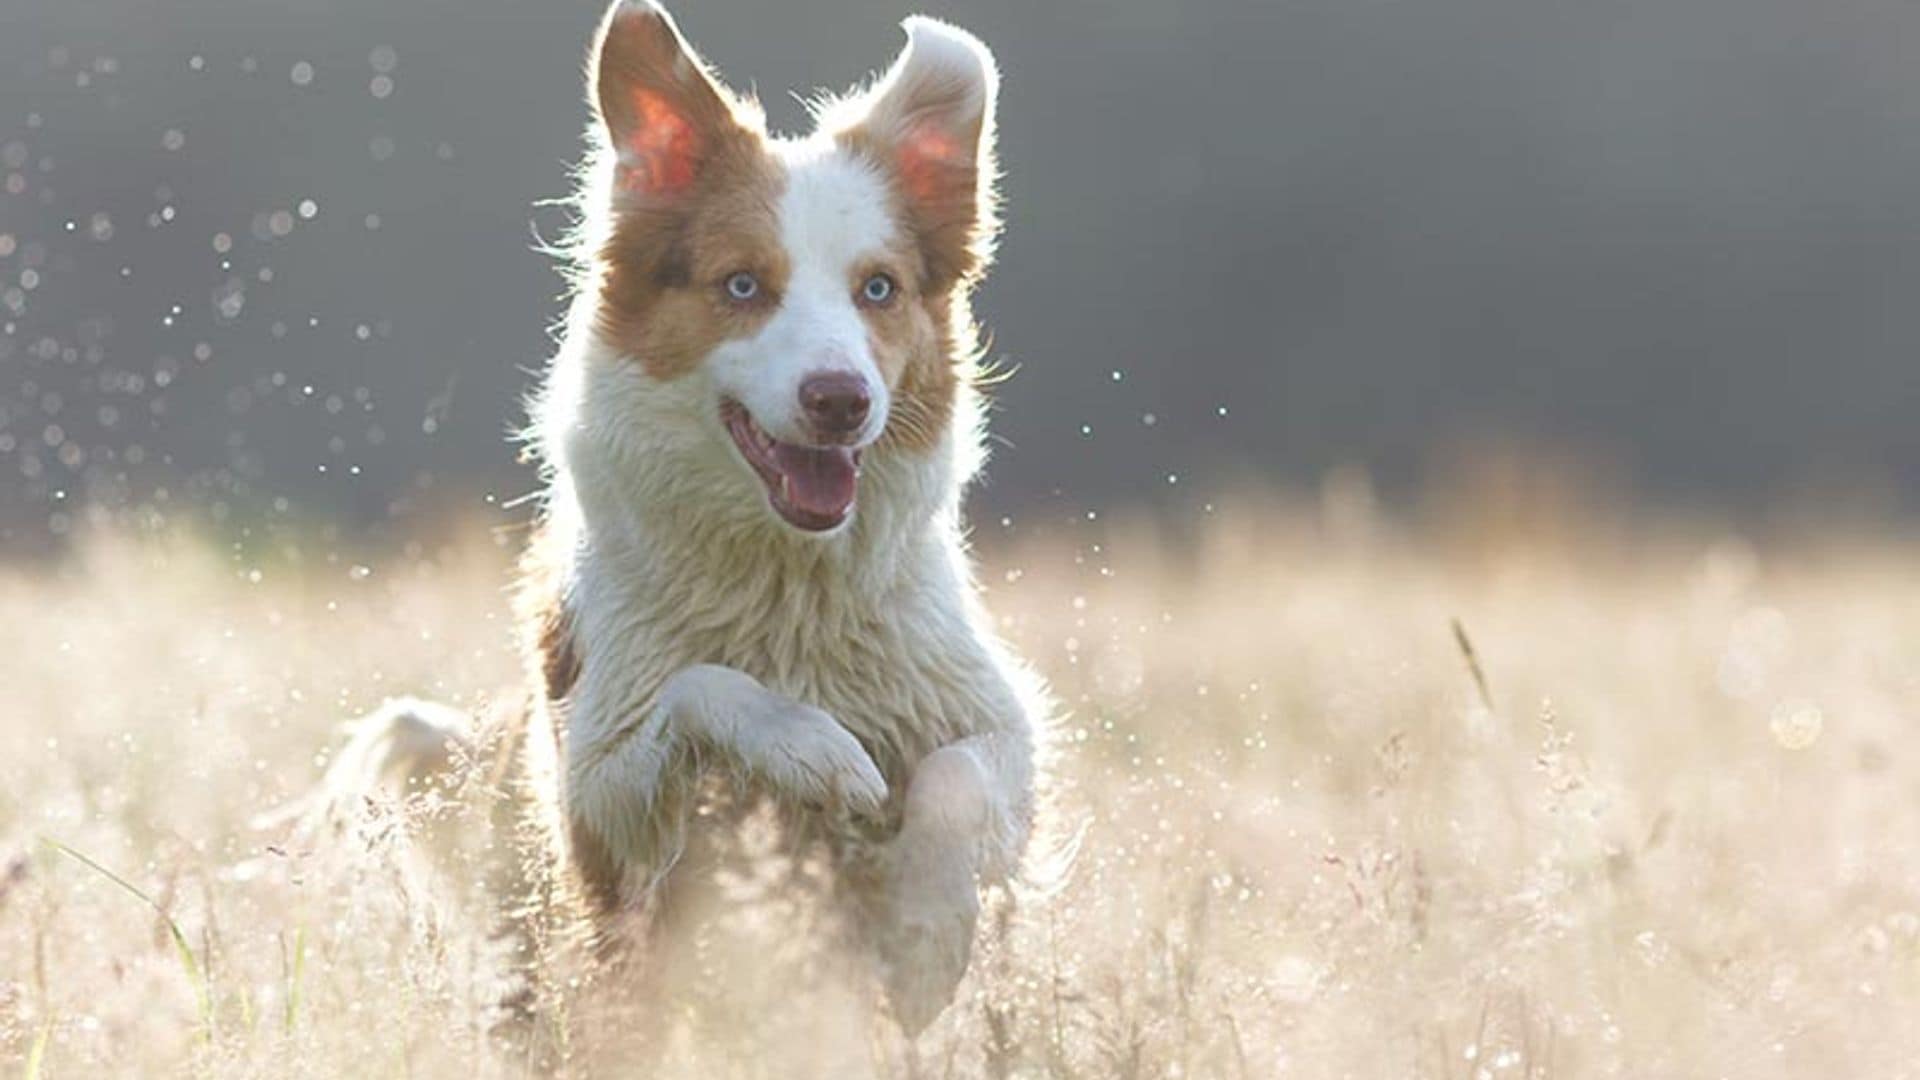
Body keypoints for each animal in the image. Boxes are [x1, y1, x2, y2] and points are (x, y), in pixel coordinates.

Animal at [305, 0, 1044, 1045]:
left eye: (879, 289)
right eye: (741, 286)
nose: (841, 400)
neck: (787, 582)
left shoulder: (995, 722)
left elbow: (958, 781)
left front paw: (925, 937)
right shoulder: (597, 804)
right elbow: (701, 686)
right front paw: (812, 750)